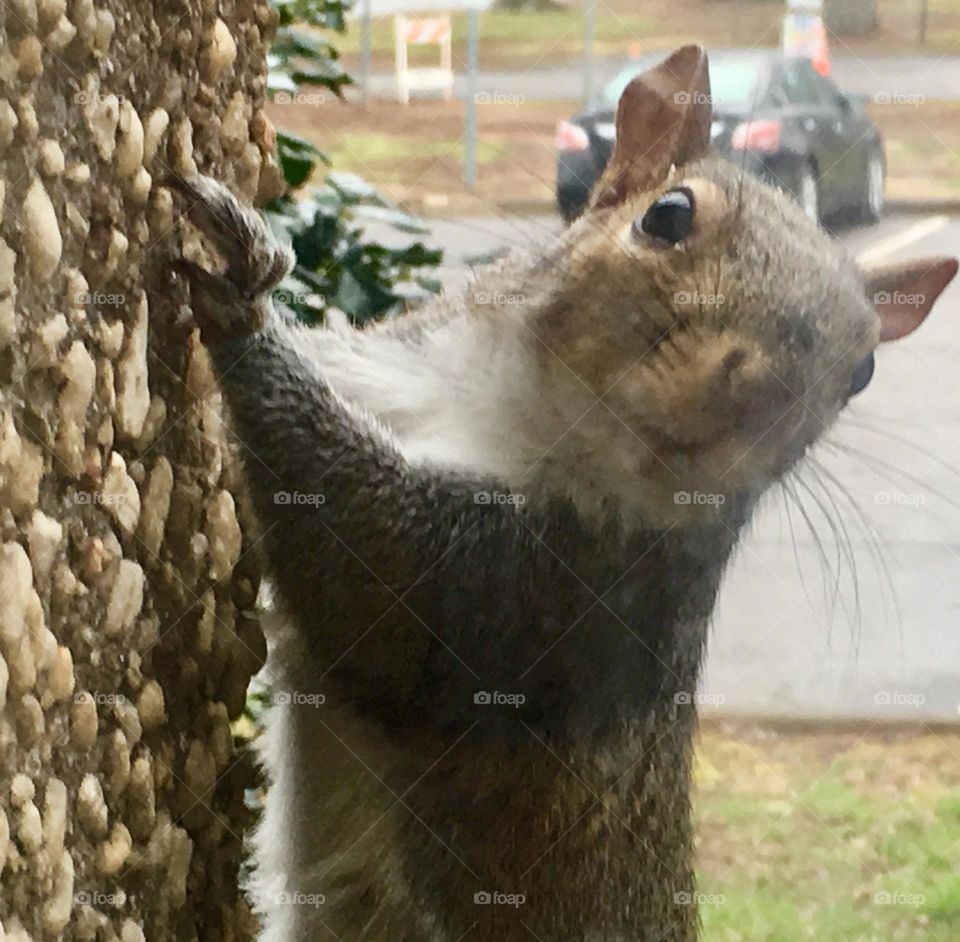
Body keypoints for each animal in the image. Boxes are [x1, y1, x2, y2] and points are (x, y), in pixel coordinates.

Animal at [163, 48, 952, 942]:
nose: (763, 395)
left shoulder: (554, 598)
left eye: (863, 371)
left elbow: (382, 586)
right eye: (668, 216)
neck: (500, 402)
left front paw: (242, 314)